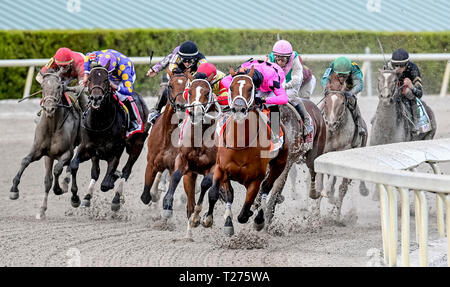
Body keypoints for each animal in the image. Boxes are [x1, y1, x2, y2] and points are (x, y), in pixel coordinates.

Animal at [9, 68, 81, 219]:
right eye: (42, 87)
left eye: (59, 86)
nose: (49, 109)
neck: (53, 127)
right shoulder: (42, 153)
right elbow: (27, 162)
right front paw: (14, 190)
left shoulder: (67, 152)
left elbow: (58, 169)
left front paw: (59, 189)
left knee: (72, 166)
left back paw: (71, 193)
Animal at [68, 62, 149, 212]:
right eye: (90, 79)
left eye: (106, 80)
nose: (96, 98)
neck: (100, 124)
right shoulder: (87, 147)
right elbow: (74, 165)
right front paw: (75, 198)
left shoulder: (115, 153)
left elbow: (106, 184)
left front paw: (112, 181)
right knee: (96, 172)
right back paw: (88, 196)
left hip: (137, 146)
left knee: (126, 171)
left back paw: (116, 198)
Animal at [141, 68, 190, 207]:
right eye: (170, 86)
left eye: (187, 86)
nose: (180, 106)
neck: (167, 135)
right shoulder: (151, 163)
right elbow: (145, 196)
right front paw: (154, 194)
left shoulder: (174, 165)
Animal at [202, 67, 290, 236]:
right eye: (231, 88)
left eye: (251, 88)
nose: (238, 109)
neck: (240, 143)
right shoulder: (221, 168)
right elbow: (215, 193)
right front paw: (208, 219)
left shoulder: (255, 178)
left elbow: (245, 211)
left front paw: (252, 216)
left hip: (279, 164)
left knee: (266, 188)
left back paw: (259, 218)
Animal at [318, 72, 368, 223]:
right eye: (326, 102)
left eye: (342, 103)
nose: (331, 123)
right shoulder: (322, 153)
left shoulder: (342, 151)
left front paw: (327, 193)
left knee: (342, 188)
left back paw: (337, 216)